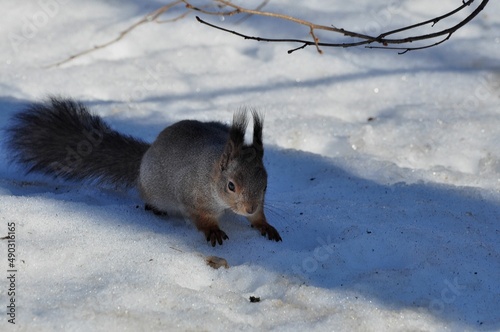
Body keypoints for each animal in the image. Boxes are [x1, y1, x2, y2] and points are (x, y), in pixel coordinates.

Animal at [4, 97, 282, 245]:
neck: (211, 175)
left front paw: (264, 224)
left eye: (266, 185)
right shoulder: (192, 197)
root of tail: (147, 153)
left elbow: (260, 219)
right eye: (231, 186)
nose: (249, 208)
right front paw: (213, 231)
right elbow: (201, 218)